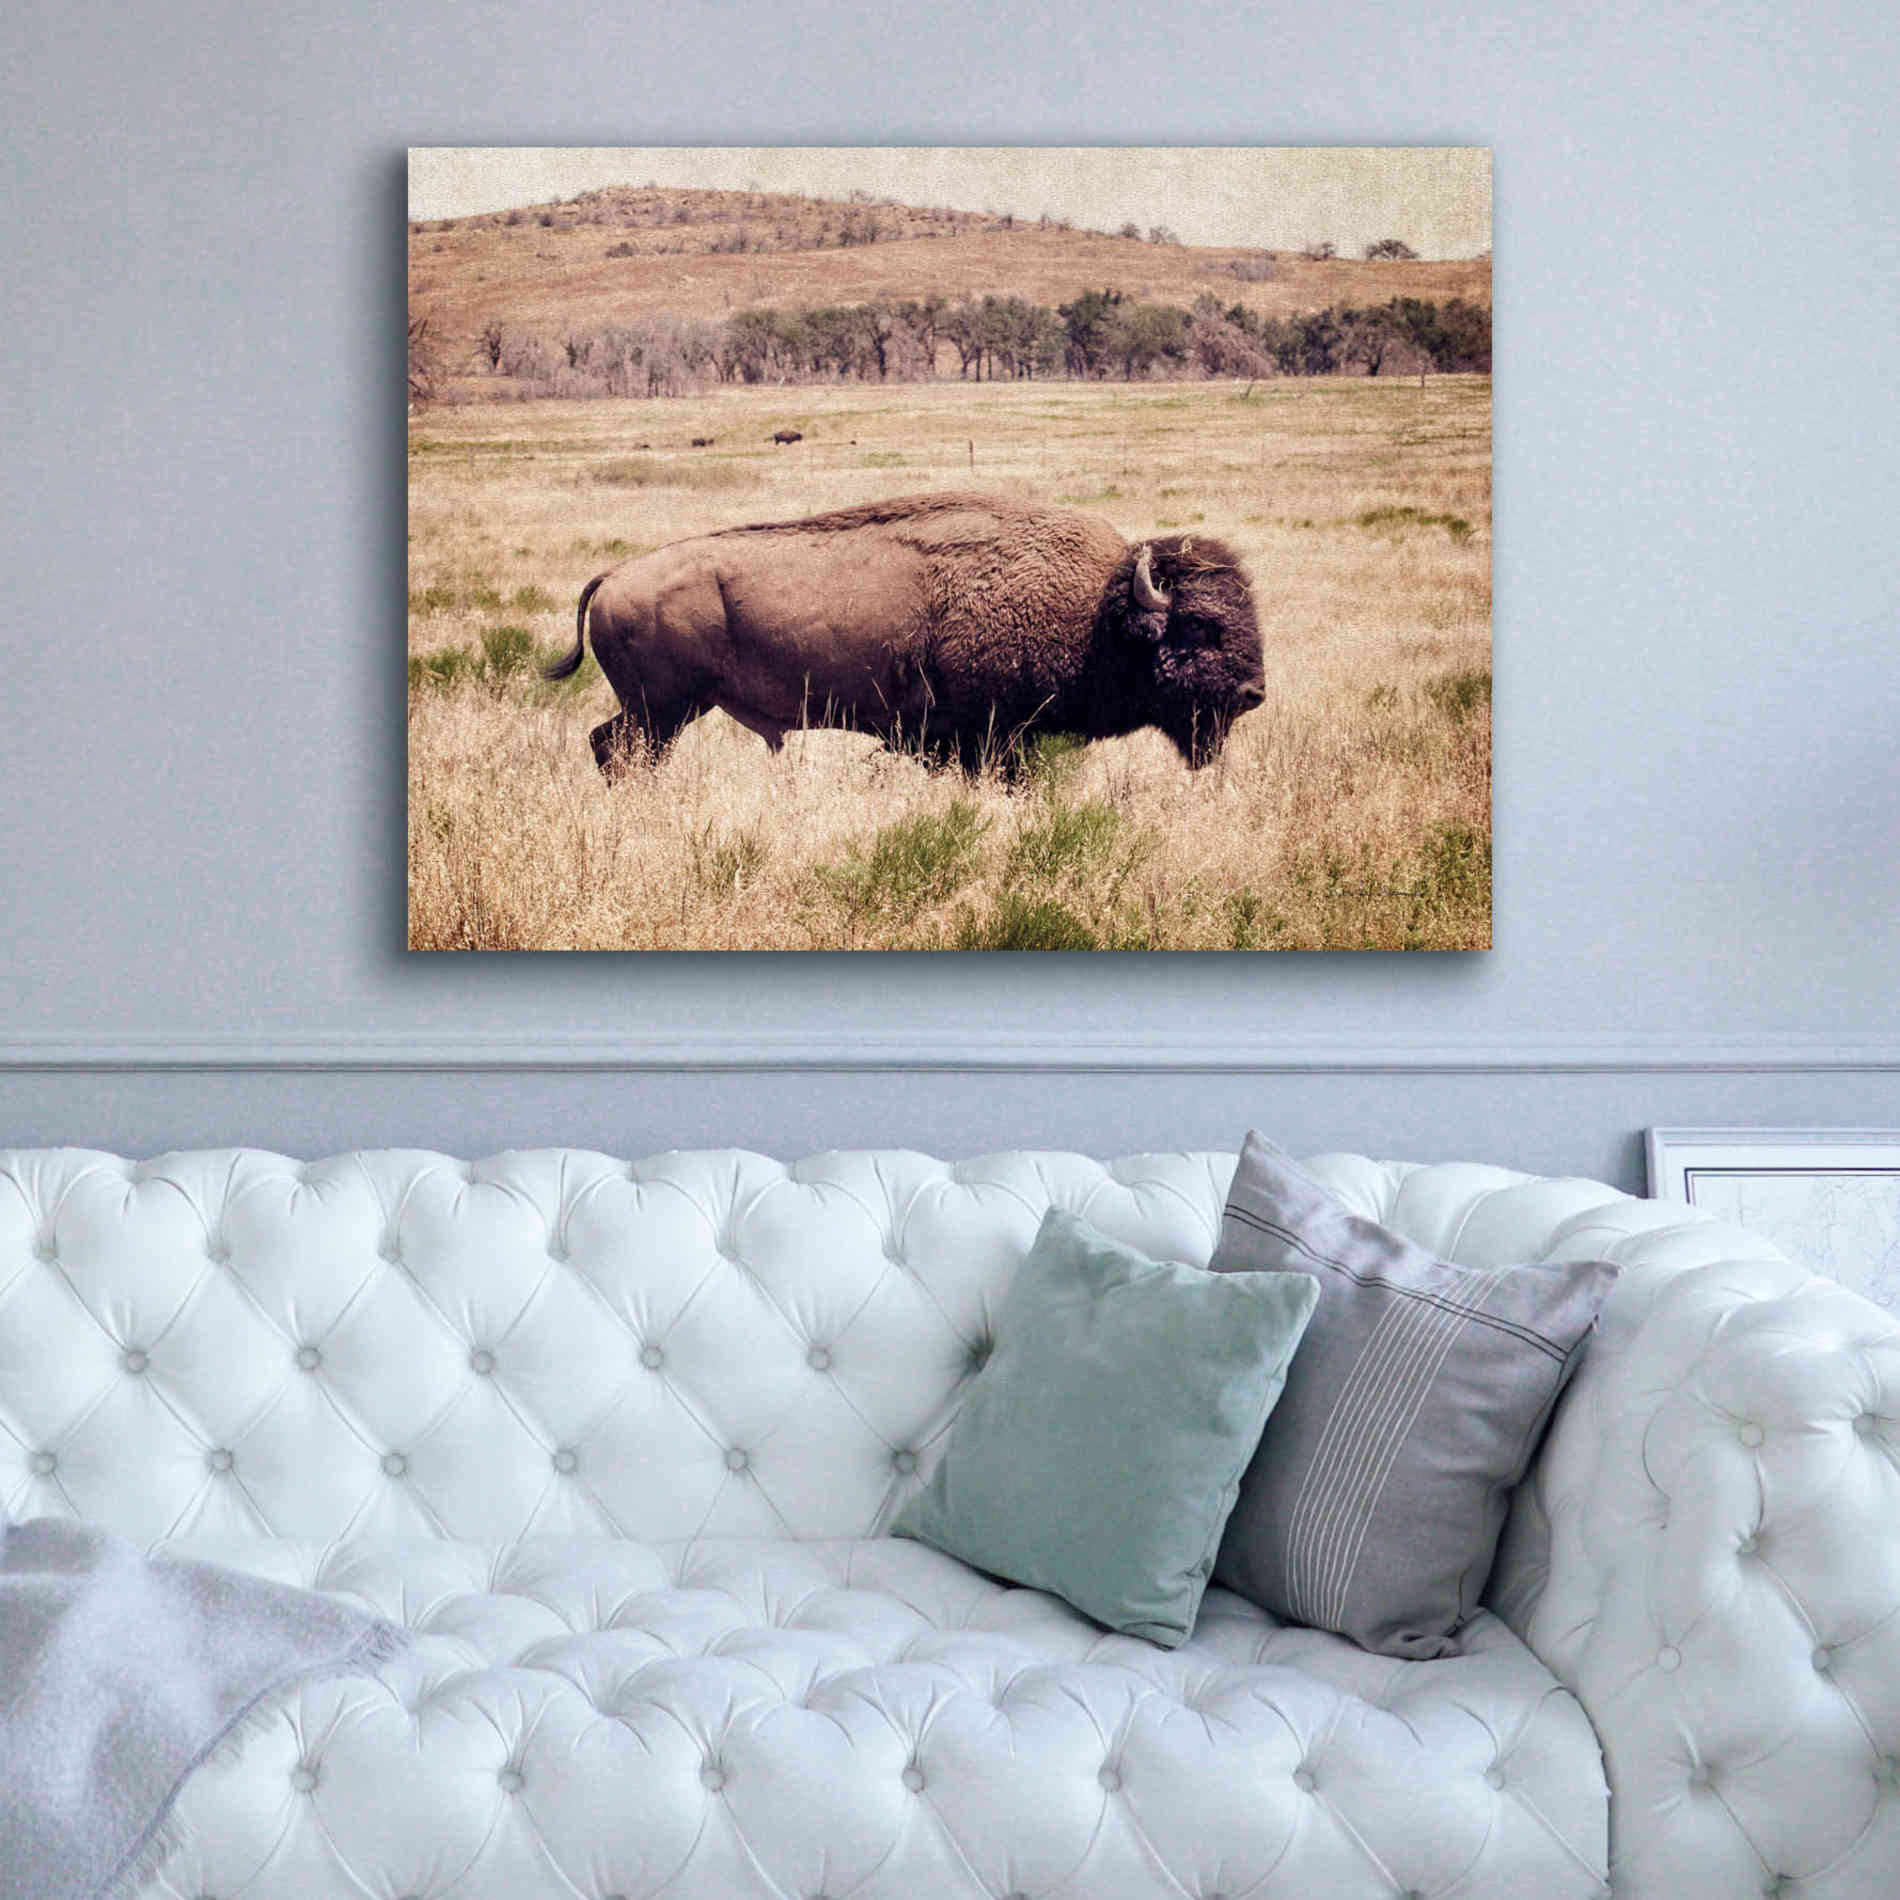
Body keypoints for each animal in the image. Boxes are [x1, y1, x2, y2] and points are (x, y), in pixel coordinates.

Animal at [543, 492, 1266, 777]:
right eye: (1198, 626)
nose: (1254, 693)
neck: (1096, 612)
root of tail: (615, 575)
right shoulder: (991, 739)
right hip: (662, 710)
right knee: (618, 752)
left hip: (664, 711)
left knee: (607, 746)